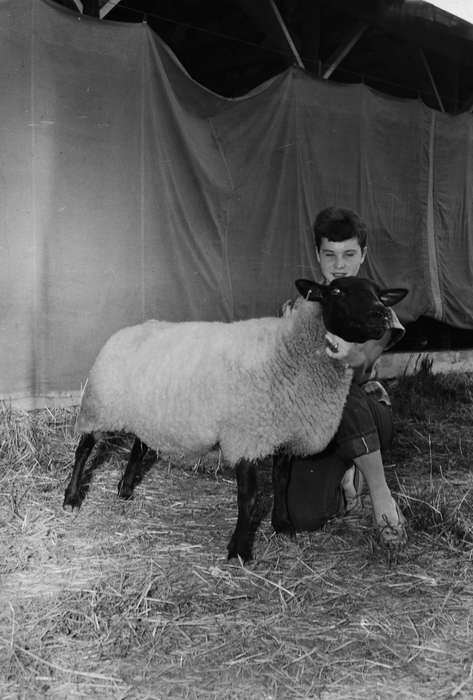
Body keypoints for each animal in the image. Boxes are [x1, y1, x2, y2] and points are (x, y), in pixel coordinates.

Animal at [63, 276, 407, 561]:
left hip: (148, 412)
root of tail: (127, 330)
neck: (289, 349)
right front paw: (239, 549)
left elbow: (282, 483)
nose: (382, 314)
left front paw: (283, 525)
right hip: (100, 404)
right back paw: (71, 497)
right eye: (337, 291)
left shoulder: (283, 433)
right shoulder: (246, 437)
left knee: (139, 446)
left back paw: (125, 489)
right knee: (84, 448)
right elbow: (250, 499)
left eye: (379, 294)